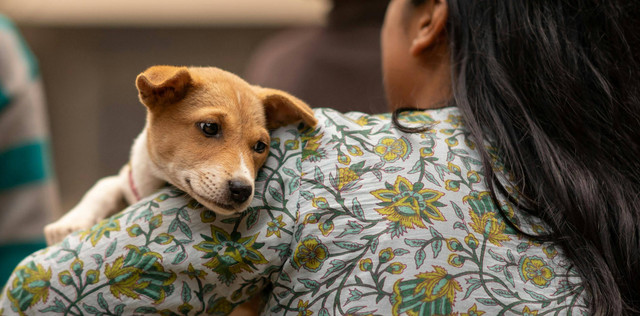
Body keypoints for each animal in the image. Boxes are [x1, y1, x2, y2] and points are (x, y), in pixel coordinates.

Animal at [43, 65, 316, 246]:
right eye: (210, 127)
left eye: (260, 146)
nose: (242, 190)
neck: (153, 183)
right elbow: (107, 183)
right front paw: (70, 222)